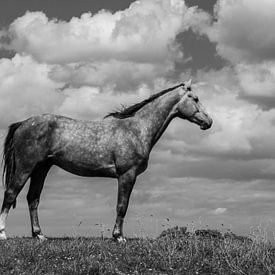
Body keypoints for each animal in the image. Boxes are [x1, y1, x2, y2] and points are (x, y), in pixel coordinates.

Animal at [0, 78, 213, 243]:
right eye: (195, 98)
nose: (209, 122)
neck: (136, 129)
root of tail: (23, 123)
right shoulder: (127, 175)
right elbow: (122, 206)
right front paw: (118, 236)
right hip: (26, 167)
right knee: (11, 194)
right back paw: (3, 234)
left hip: (41, 168)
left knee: (33, 199)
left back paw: (39, 235)